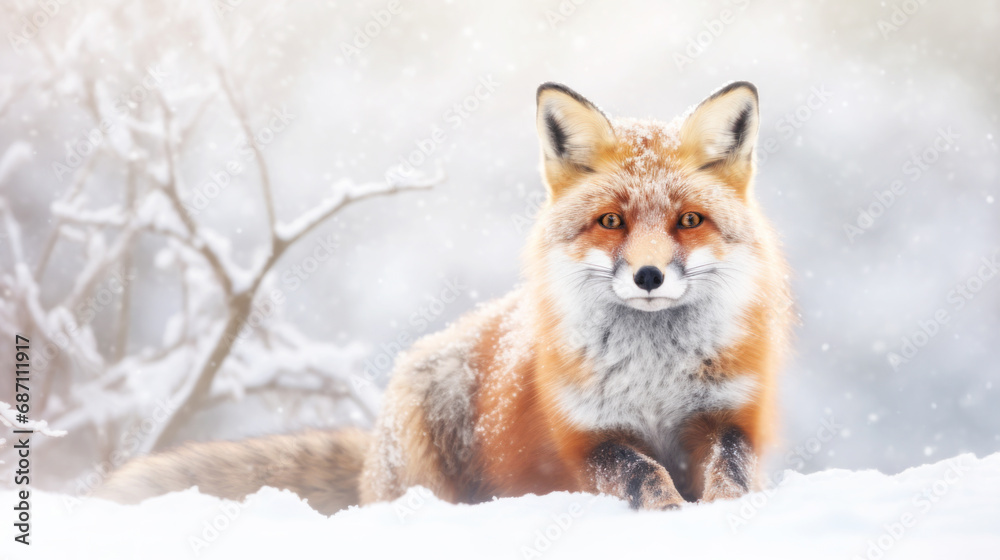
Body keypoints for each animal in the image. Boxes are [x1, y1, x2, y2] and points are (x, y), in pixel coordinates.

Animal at [99, 81, 788, 516]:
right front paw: (670, 514)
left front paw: (726, 516)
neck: (655, 376)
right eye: (612, 222)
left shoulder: (731, 416)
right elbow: (642, 472)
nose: (648, 276)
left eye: (689, 221)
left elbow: (729, 470)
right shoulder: (586, 437)